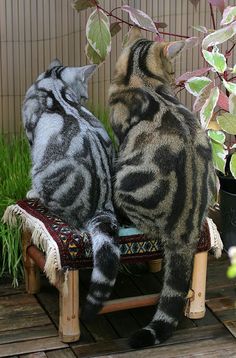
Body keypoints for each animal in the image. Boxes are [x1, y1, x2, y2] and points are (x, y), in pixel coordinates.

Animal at [22, 60, 120, 320]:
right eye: (83, 97)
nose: (84, 101)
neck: (54, 84)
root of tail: (102, 204)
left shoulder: (30, 136)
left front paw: (30, 192)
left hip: (44, 176)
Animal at [109, 28, 216, 350]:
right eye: (170, 69)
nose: (173, 78)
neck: (140, 76)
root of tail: (185, 226)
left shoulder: (120, 138)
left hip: (126, 183)